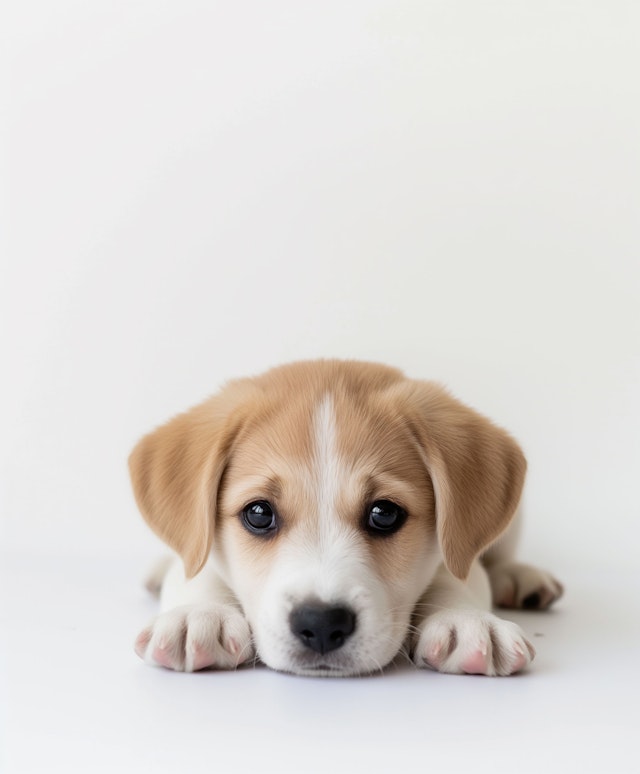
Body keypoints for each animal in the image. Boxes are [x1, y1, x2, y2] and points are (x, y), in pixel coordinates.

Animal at [130, 360, 560, 676]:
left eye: (384, 514)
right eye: (258, 513)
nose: (321, 624)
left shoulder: (455, 546)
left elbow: (458, 576)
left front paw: (466, 619)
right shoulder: (198, 544)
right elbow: (196, 571)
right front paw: (197, 616)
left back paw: (521, 577)